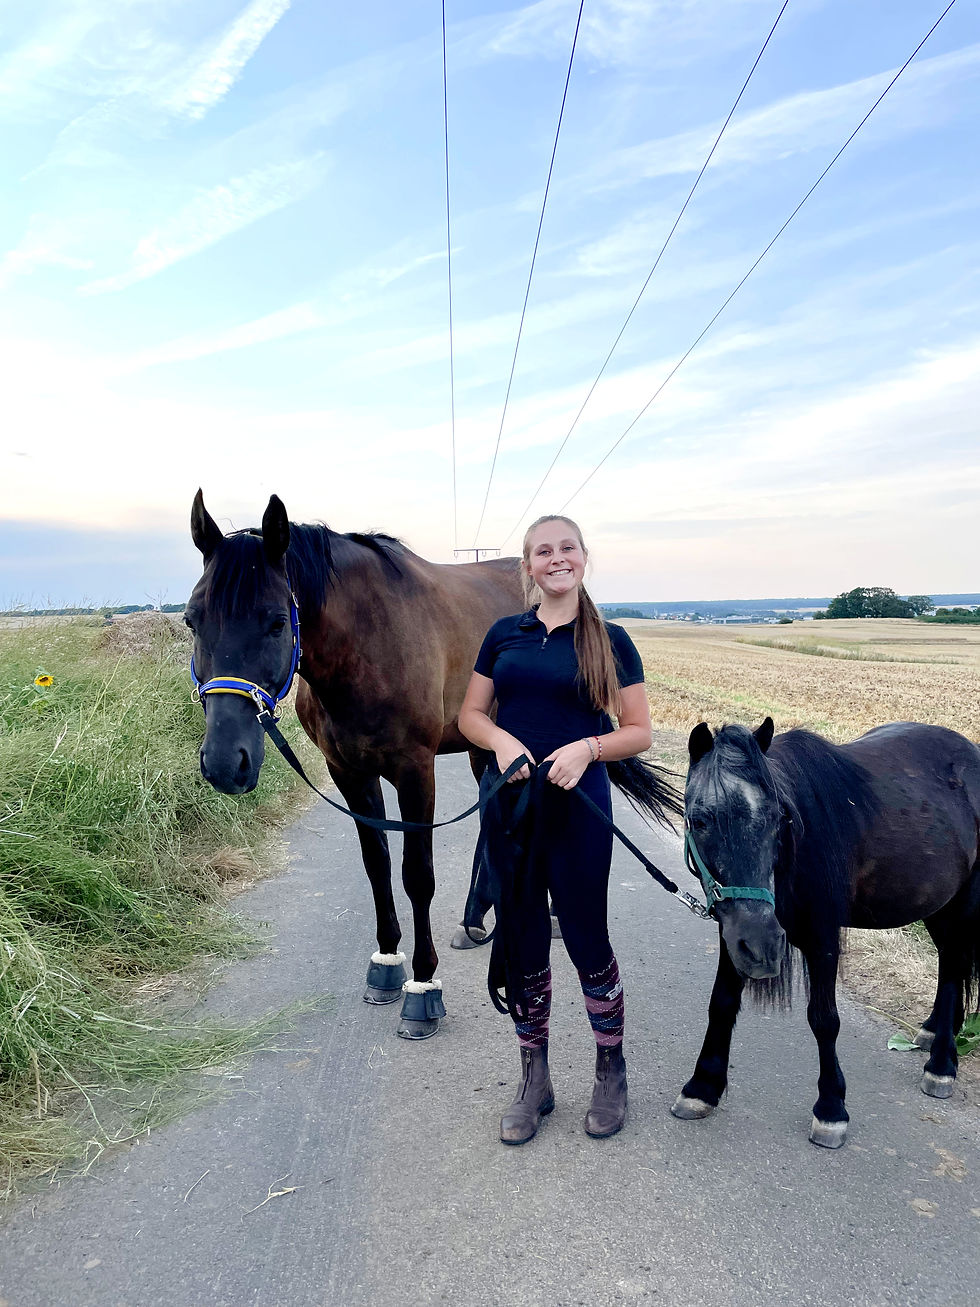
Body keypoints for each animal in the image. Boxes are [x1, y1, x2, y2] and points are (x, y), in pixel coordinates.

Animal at [186, 491, 524, 1039]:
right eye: (192, 620)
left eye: (277, 620)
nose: (223, 762)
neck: (368, 646)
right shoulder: (349, 772)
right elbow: (376, 863)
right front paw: (387, 963)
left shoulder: (415, 772)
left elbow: (416, 874)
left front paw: (423, 987)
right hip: (486, 749)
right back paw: (475, 921)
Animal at [671, 717, 980, 1148]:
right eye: (700, 820)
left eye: (778, 818)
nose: (765, 948)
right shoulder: (734, 934)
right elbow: (722, 1003)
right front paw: (702, 1087)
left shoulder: (822, 940)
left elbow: (824, 1019)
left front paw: (831, 1108)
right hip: (937, 906)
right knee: (950, 964)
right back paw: (934, 1030)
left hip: (963, 904)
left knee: (953, 969)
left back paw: (942, 1064)